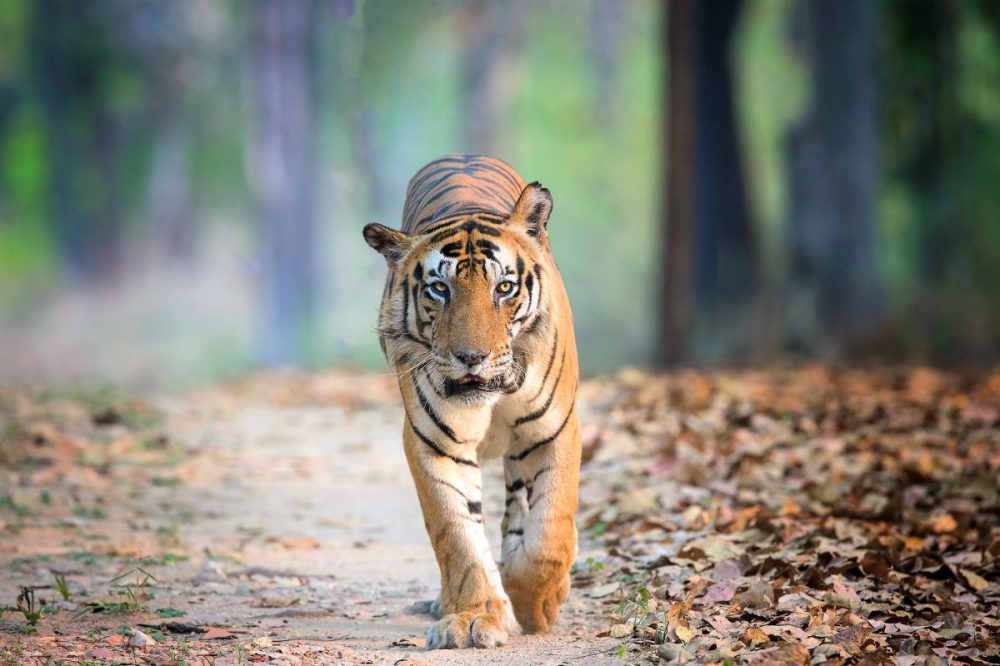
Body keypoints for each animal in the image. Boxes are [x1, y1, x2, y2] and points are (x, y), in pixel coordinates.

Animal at [362, 154, 581, 649]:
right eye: (440, 289)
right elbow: (457, 536)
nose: (471, 357)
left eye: (504, 288)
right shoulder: (435, 442)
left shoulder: (555, 431)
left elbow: (550, 532)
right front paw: (475, 618)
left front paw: (536, 605)